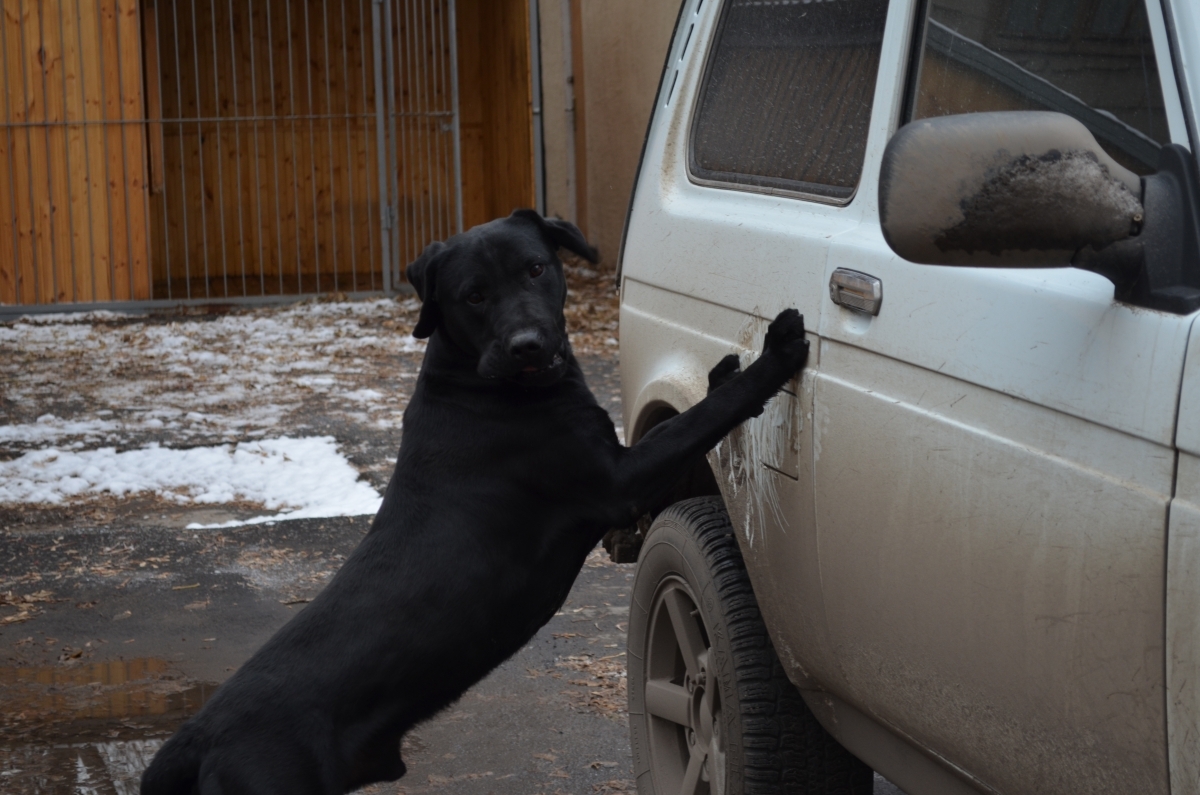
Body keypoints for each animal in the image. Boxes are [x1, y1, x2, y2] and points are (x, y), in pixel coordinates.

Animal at [140, 210, 806, 795]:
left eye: (536, 269)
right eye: (474, 296)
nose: (527, 345)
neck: (480, 381)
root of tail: (194, 740)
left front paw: (724, 368)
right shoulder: (619, 480)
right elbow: (702, 418)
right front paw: (776, 353)